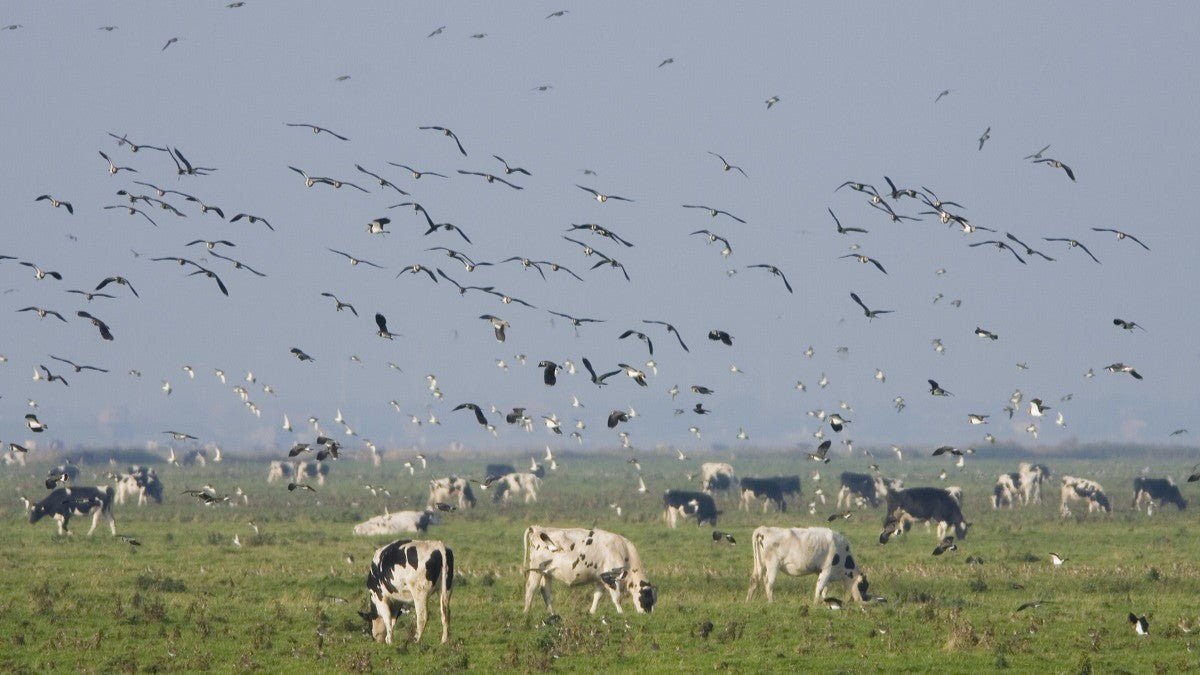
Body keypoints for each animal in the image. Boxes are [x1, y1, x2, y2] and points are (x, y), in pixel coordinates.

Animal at [523, 525, 657, 615]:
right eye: (648, 598)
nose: (648, 614)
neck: (624, 551)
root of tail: (538, 528)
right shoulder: (612, 578)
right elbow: (617, 598)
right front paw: (621, 613)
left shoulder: (600, 578)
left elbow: (597, 596)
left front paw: (592, 612)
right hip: (536, 569)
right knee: (531, 588)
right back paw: (526, 612)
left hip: (546, 573)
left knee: (545, 591)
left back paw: (552, 613)